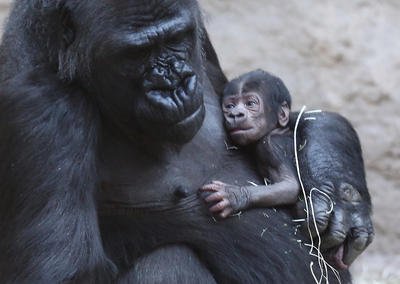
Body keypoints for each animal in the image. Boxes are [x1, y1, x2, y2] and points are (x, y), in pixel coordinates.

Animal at [202, 69, 298, 217]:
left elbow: (289, 186)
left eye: (250, 104)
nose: (235, 114)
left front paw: (235, 196)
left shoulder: (269, 146)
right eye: (230, 106)